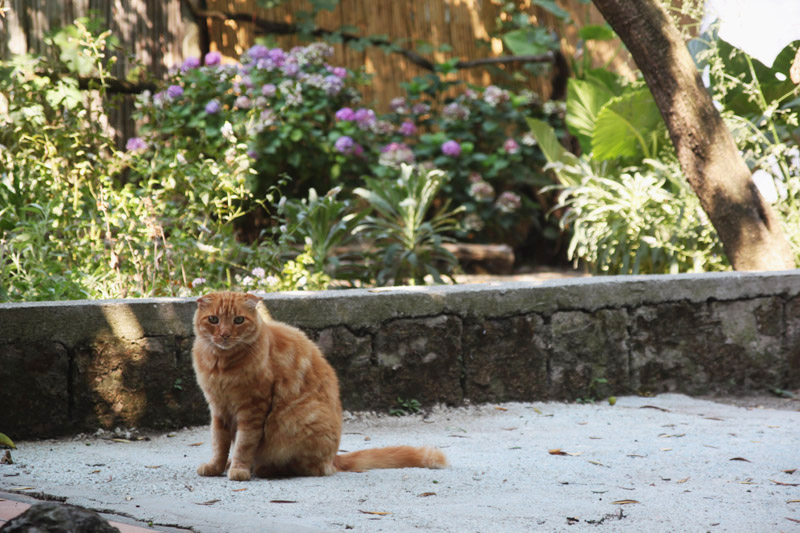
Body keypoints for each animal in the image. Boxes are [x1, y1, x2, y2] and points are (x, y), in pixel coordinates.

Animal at [191, 294, 446, 480]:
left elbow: (243, 445)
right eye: (213, 320)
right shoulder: (218, 409)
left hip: (298, 419)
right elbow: (219, 443)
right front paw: (216, 467)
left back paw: (266, 470)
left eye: (238, 320)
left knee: (308, 468)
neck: (221, 365)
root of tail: (334, 457)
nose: (225, 334)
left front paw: (239, 469)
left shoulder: (252, 409)